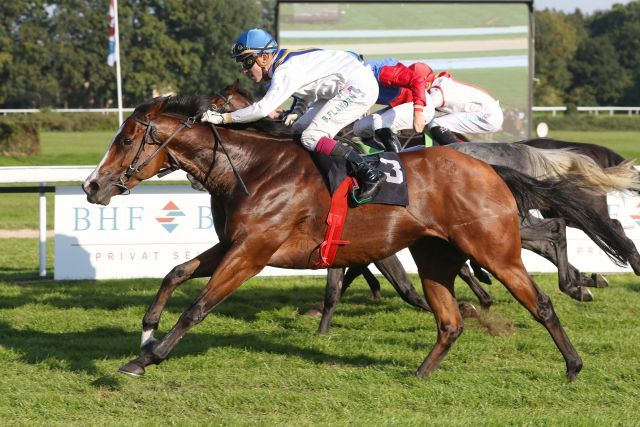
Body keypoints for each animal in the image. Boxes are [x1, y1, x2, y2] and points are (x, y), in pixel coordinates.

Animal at [82, 96, 604, 382]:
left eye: (125, 139)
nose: (91, 185)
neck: (253, 169)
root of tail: (489, 167)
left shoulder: (251, 253)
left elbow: (198, 306)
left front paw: (147, 358)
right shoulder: (233, 245)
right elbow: (175, 273)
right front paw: (147, 330)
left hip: (494, 249)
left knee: (540, 302)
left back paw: (575, 361)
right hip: (435, 256)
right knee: (449, 321)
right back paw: (420, 372)